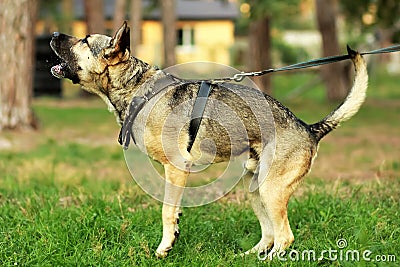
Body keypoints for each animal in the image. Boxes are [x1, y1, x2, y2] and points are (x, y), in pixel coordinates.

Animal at [50, 22, 368, 260]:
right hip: (255, 190)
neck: (139, 90)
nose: (52, 34)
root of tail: (310, 128)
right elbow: (173, 210)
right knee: (269, 235)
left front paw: (165, 247)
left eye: (84, 40)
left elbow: (166, 211)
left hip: (271, 190)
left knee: (285, 237)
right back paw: (248, 257)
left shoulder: (176, 167)